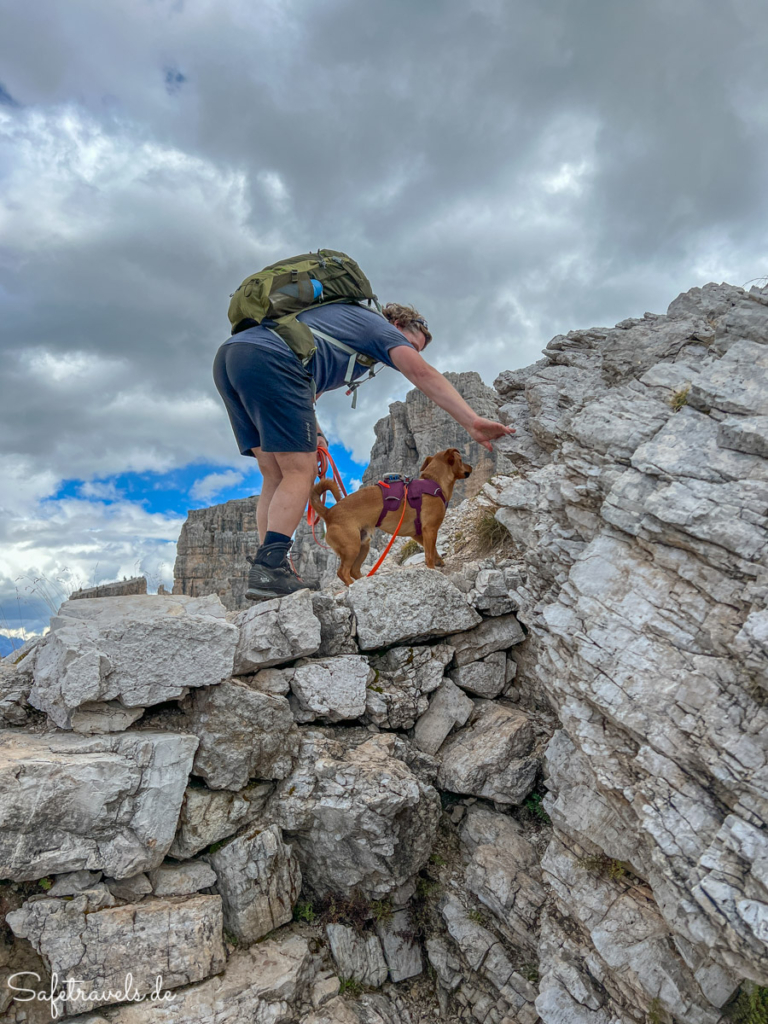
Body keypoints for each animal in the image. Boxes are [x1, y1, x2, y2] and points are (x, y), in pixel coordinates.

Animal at [309, 446, 473, 585]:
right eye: (461, 460)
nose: (471, 467)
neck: (434, 482)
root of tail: (329, 512)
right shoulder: (430, 529)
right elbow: (429, 555)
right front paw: (433, 571)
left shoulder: (419, 533)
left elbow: (433, 550)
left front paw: (439, 561)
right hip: (351, 548)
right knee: (342, 572)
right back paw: (352, 585)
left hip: (363, 545)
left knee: (354, 570)